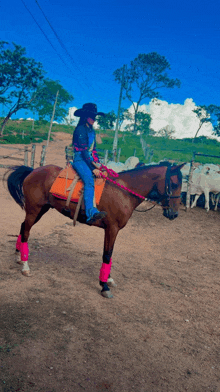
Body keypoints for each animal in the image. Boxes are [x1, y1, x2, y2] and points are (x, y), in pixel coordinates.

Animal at [4, 162, 184, 298]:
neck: (123, 191)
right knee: (26, 232)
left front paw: (108, 279)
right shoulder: (112, 228)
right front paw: (104, 286)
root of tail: (33, 170)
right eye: (174, 184)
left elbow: (109, 254)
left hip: (41, 209)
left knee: (23, 227)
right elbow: (107, 254)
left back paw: (19, 256)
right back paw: (25, 266)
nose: (174, 214)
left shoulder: (113, 230)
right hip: (34, 209)